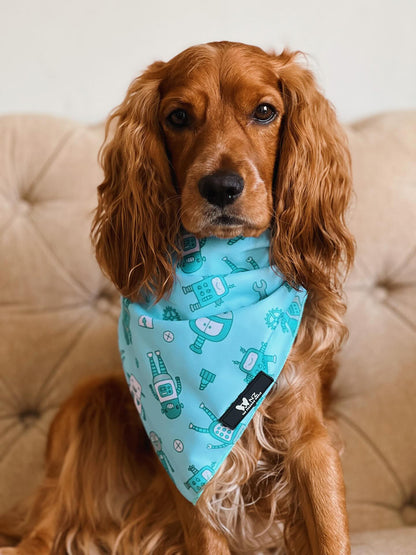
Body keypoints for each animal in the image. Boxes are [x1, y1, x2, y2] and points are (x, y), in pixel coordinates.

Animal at [0, 42, 354, 555]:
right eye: (179, 116)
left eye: (265, 111)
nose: (221, 186)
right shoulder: (186, 464)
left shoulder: (307, 435)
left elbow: (328, 530)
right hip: (91, 400)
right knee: (46, 520)